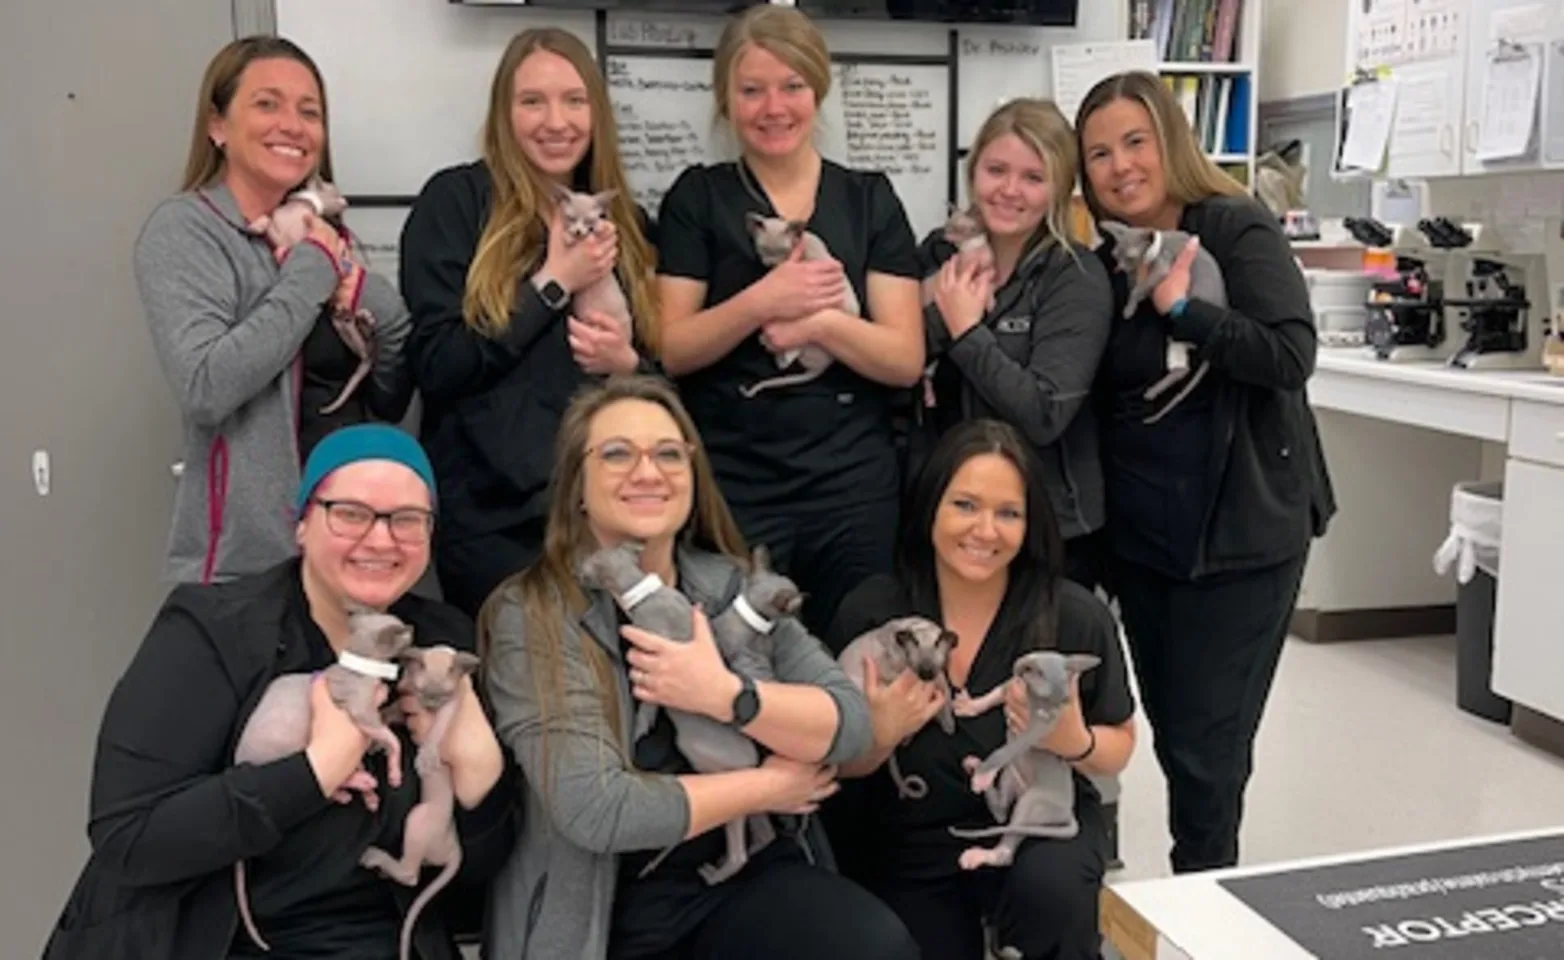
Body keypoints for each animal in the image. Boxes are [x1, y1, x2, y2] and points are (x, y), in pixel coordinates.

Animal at [229, 609, 416, 956]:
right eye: (402, 631)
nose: (411, 630)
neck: (357, 665)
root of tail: (239, 763)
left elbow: (382, 730)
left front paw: (381, 746)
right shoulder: (359, 710)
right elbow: (389, 736)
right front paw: (393, 767)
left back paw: (365, 790)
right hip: (292, 742)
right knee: (324, 779)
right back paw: (361, 783)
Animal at [359, 644, 481, 960]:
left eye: (444, 694)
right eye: (423, 691)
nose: (430, 705)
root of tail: (455, 847)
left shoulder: (453, 704)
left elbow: (438, 728)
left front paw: (426, 756)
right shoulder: (406, 698)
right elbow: (391, 712)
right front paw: (378, 736)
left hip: (418, 818)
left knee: (411, 876)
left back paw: (375, 858)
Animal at [938, 647, 1101, 875]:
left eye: (1066, 701)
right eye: (1045, 695)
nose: (1052, 717)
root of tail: (1068, 813)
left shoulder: (1035, 731)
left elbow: (1006, 750)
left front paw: (984, 774)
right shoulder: (1011, 687)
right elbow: (994, 694)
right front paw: (971, 706)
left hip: (1034, 801)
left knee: (1006, 851)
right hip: (1012, 775)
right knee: (1001, 813)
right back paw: (975, 767)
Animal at [1094, 223, 1226, 428]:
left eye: (1130, 257)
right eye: (1115, 255)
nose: (1118, 268)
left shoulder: (1163, 267)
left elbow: (1139, 290)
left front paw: (1129, 309)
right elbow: (1138, 287)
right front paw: (1132, 287)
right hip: (1174, 338)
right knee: (1182, 369)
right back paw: (1153, 391)